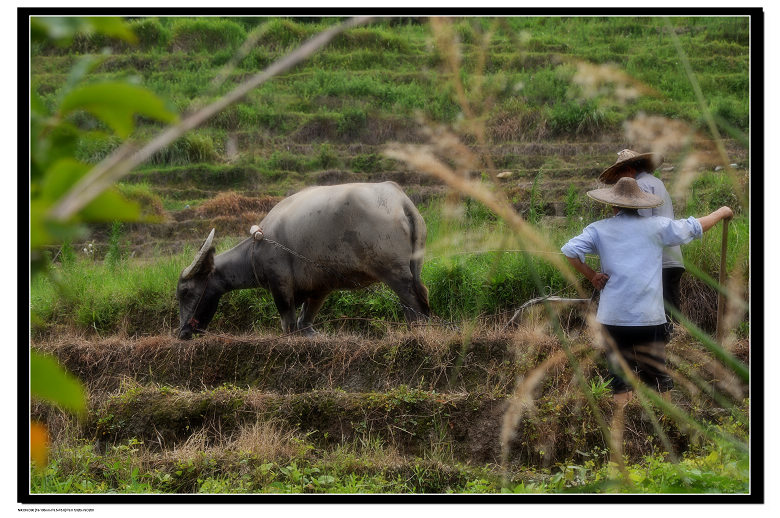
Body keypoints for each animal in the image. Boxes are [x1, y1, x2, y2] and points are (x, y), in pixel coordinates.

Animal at [177, 183, 430, 342]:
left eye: (184, 292)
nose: (182, 332)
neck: (255, 249)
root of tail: (400, 201)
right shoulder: (319, 287)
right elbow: (305, 319)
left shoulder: (280, 284)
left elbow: (288, 321)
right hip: (414, 265)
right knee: (421, 294)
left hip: (393, 271)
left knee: (410, 299)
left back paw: (415, 331)